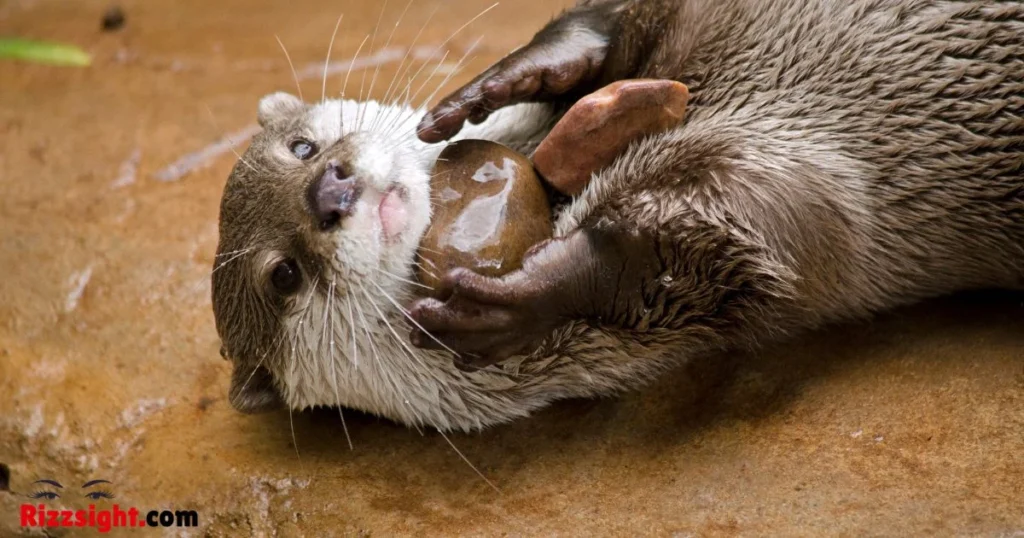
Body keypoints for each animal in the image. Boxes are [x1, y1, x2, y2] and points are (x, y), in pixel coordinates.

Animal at [213, 0, 1024, 433]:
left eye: (302, 146)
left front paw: (498, 82)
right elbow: (741, 238)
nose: (330, 191)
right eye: (282, 276)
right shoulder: (784, 188)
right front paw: (523, 297)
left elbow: (623, 24)